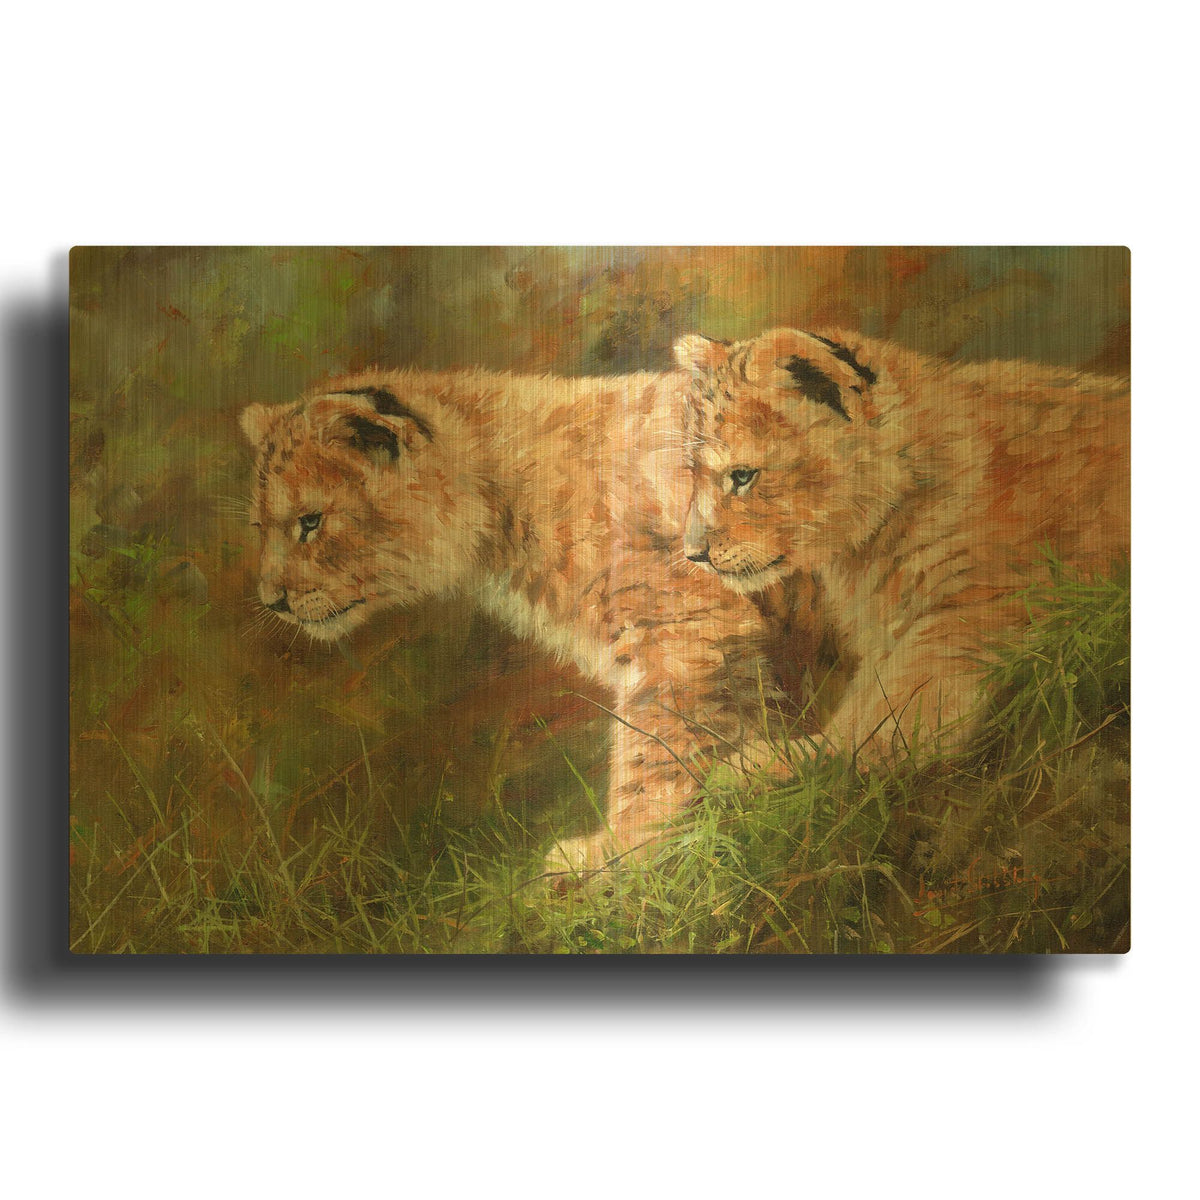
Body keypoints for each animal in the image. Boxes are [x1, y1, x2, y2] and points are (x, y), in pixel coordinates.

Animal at [239, 366, 828, 873]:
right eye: (259, 527)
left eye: (310, 522)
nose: (270, 600)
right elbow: (726, 719)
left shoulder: (682, 625)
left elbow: (653, 753)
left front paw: (620, 857)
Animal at [673, 327, 1130, 763]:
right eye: (693, 473)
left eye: (743, 476)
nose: (694, 554)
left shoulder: (966, 624)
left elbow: (875, 737)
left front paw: (748, 772)